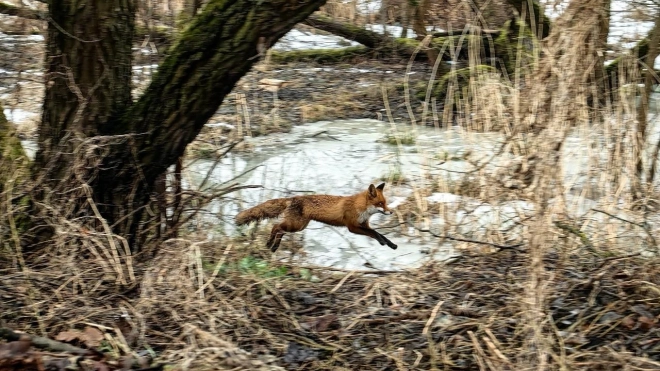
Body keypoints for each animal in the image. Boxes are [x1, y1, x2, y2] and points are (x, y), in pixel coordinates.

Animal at [236, 184, 398, 253]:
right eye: (380, 204)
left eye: (385, 203)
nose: (391, 212)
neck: (360, 208)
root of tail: (292, 198)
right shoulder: (352, 227)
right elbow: (374, 234)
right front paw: (383, 242)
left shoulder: (364, 225)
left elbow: (378, 233)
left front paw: (391, 244)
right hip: (295, 225)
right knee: (276, 227)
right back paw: (270, 244)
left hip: (298, 226)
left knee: (279, 230)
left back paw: (273, 246)